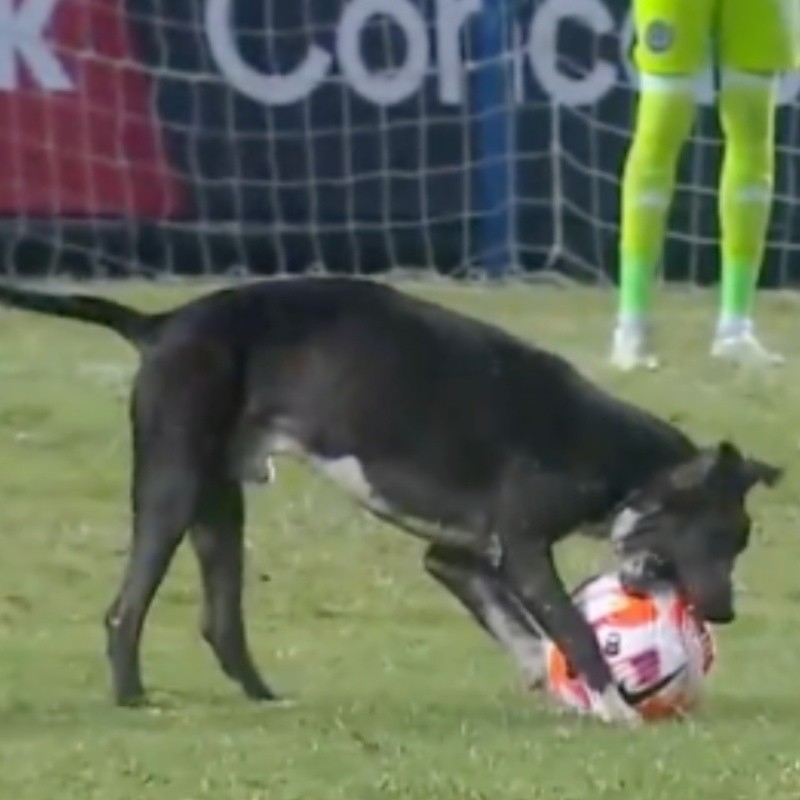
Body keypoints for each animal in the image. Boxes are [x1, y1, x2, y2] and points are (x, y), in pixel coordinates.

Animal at [0, 278, 780, 720]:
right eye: (719, 537)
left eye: (740, 543)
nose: (722, 613)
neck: (622, 460)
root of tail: (161, 322)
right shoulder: (526, 553)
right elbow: (574, 630)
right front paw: (614, 705)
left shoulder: (457, 557)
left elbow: (517, 627)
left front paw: (550, 685)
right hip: (172, 489)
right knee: (123, 610)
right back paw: (133, 697)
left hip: (220, 507)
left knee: (220, 622)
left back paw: (264, 698)